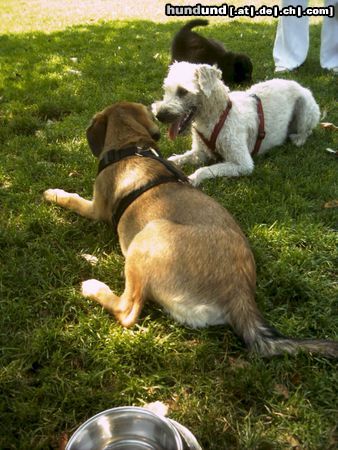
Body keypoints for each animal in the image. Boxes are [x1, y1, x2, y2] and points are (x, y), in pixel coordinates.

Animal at [45, 102, 338, 358]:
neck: (131, 146)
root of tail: (239, 295)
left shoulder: (96, 207)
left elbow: (72, 199)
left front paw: (53, 193)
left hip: (148, 234)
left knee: (128, 311)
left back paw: (93, 286)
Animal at [152, 61, 320, 185]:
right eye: (166, 90)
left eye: (183, 91)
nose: (158, 115)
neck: (217, 116)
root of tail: (299, 85)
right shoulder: (200, 152)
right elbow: (175, 159)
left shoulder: (243, 164)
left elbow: (204, 169)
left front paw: (192, 179)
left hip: (306, 109)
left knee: (307, 131)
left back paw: (298, 139)